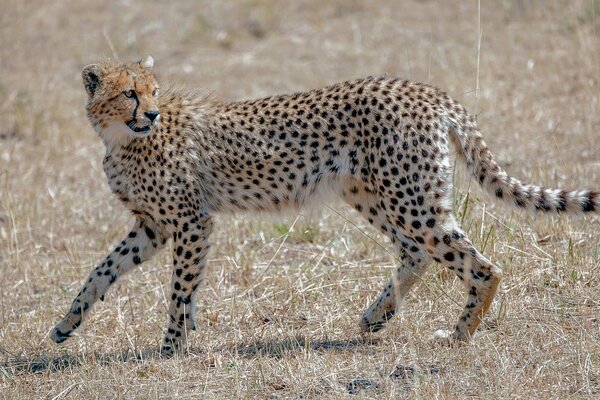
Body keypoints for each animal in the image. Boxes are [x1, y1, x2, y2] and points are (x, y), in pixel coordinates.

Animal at [49, 55, 596, 356]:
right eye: (129, 93)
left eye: (153, 92)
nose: (153, 112)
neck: (122, 139)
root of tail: (426, 90)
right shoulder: (154, 226)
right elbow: (102, 271)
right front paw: (65, 325)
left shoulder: (190, 221)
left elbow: (180, 290)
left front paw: (170, 347)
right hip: (374, 194)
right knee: (417, 253)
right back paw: (376, 317)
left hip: (408, 198)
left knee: (480, 264)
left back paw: (457, 337)